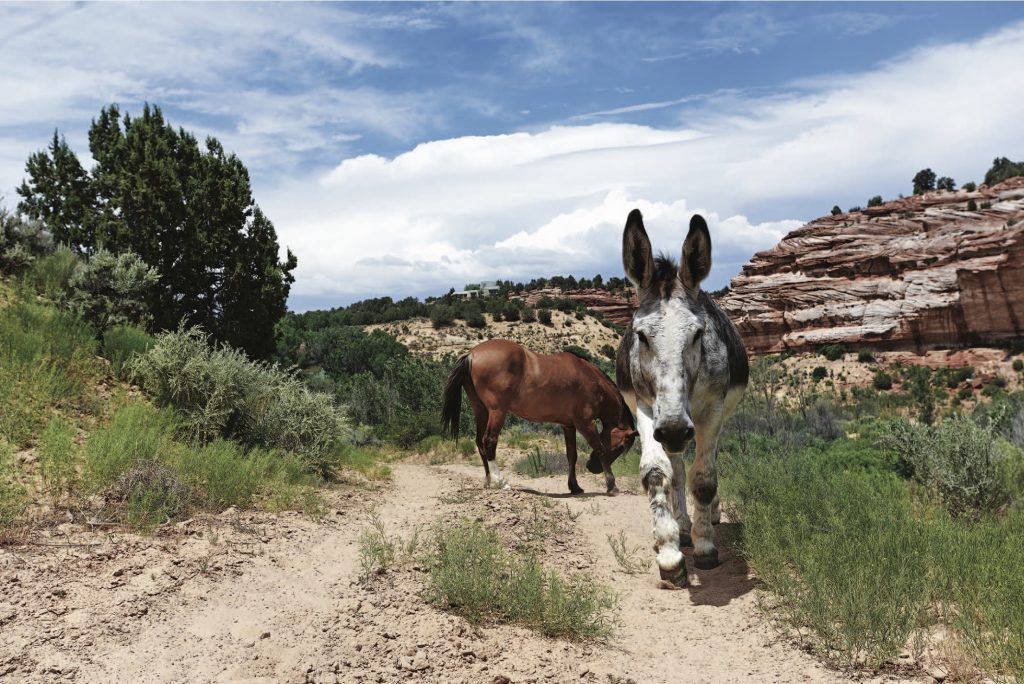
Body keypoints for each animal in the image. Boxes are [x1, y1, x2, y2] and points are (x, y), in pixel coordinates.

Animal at [442, 339, 634, 493]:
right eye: (621, 447)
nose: (592, 468)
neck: (593, 383)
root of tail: (472, 353)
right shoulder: (586, 423)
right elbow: (601, 449)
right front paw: (611, 485)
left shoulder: (568, 425)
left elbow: (571, 455)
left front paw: (574, 486)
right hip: (497, 412)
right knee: (489, 441)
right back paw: (501, 482)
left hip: (481, 410)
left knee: (479, 442)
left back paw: (489, 481)